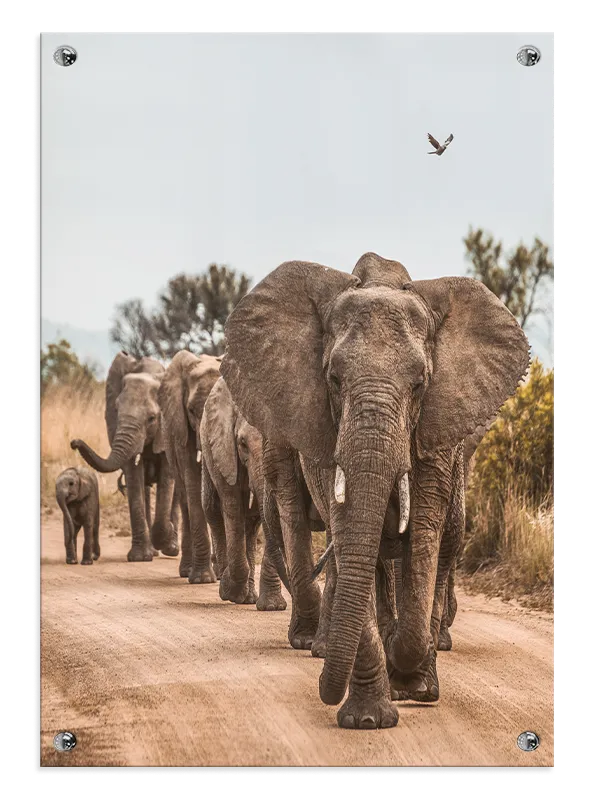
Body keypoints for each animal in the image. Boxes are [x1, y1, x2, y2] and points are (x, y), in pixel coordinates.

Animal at [70, 352, 179, 562]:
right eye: (116, 410)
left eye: (152, 418)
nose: (74, 442)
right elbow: (134, 477)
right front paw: (140, 557)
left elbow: (167, 477)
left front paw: (166, 537)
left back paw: (172, 548)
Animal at [157, 350, 225, 583]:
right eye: (192, 410)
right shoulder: (182, 428)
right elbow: (194, 487)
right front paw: (203, 579)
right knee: (186, 500)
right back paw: (188, 571)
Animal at [199, 376, 287, 608]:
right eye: (242, 443)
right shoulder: (225, 448)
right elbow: (232, 506)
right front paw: (228, 589)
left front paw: (272, 607)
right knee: (212, 509)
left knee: (253, 521)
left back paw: (248, 598)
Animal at [220, 252, 529, 729]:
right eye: (333, 379)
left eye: (420, 384)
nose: (322, 688)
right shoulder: (325, 435)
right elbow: (349, 533)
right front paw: (368, 719)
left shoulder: (437, 431)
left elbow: (423, 537)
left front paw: (412, 681)